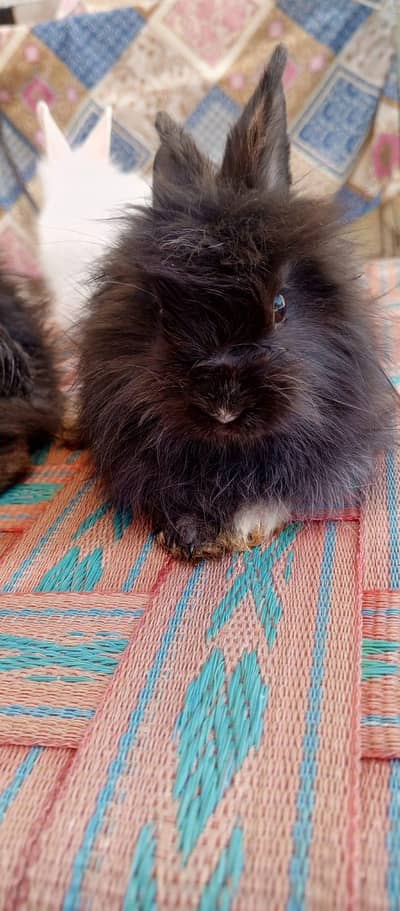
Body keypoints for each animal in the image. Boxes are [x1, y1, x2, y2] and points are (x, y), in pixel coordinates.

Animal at [78, 45, 396, 560]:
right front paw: (188, 535)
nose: (223, 407)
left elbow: (276, 496)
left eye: (281, 306)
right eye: (162, 314)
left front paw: (243, 527)